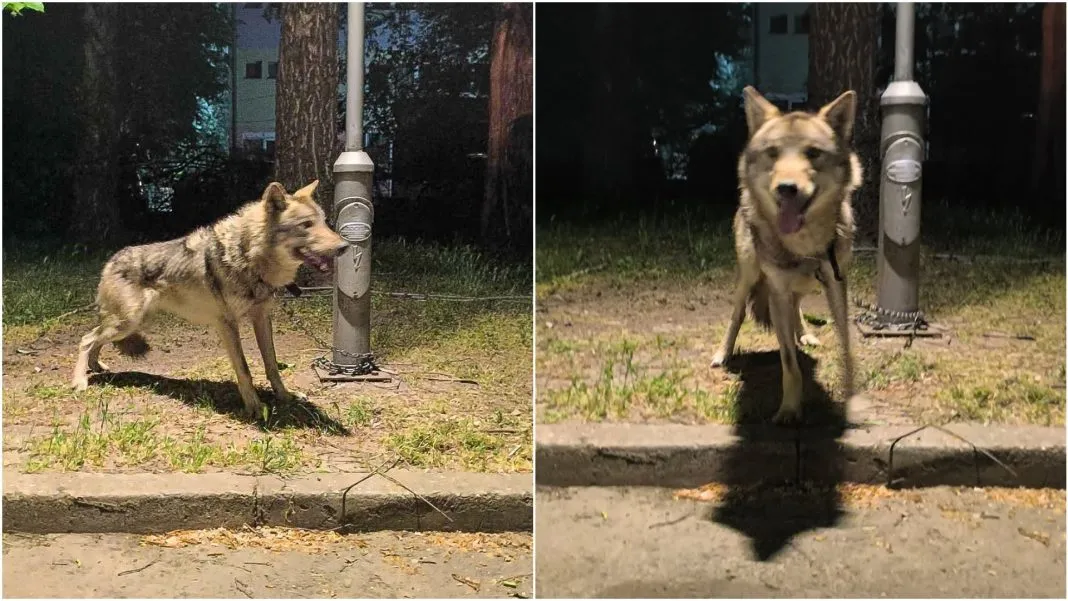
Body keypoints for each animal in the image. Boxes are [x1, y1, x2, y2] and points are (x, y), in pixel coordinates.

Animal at [71, 180, 347, 418]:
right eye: (306, 225)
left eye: (324, 222)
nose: (344, 246)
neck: (247, 257)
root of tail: (111, 260)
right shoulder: (227, 324)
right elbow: (245, 369)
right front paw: (255, 408)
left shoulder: (261, 318)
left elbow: (271, 364)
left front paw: (286, 397)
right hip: (127, 323)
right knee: (86, 339)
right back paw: (80, 380)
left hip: (132, 324)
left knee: (95, 338)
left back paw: (96, 367)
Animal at [710, 86, 862, 424]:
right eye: (773, 153)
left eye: (813, 153)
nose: (786, 188)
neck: (805, 246)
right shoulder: (777, 289)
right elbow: (789, 365)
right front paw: (790, 410)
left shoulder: (837, 284)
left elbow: (846, 346)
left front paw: (852, 397)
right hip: (749, 276)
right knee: (737, 315)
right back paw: (723, 354)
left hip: (807, 285)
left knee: (797, 308)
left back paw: (804, 335)